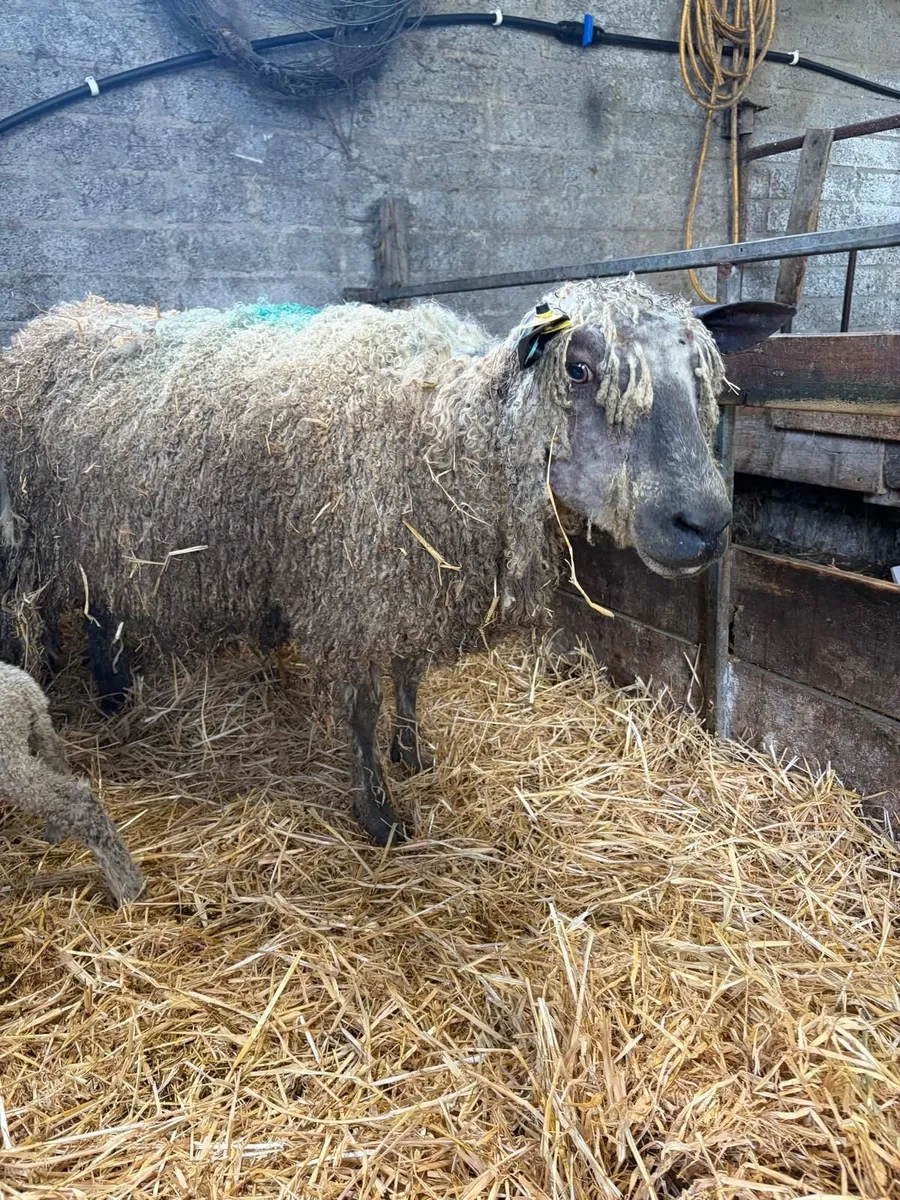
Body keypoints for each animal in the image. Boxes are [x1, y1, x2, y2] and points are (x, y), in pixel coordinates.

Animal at [0, 278, 790, 844]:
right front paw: (378, 814)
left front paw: (413, 754)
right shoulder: (353, 591)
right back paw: (99, 701)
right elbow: (361, 707)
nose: (705, 523)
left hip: (102, 532)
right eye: (579, 368)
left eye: (705, 375)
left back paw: (113, 695)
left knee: (101, 608)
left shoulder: (412, 581)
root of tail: (56, 318)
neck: (452, 431)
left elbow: (409, 678)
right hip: (49, 538)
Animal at [0, 662, 144, 903]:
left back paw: (129, 889)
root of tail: (23, 685)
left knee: (78, 803)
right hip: (39, 732)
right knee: (60, 770)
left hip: (8, 760)